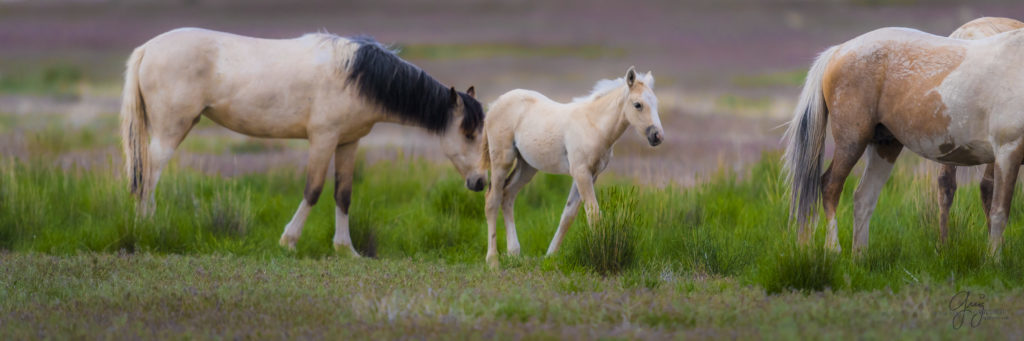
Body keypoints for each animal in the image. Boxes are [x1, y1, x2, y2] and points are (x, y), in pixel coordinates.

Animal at [117, 27, 485, 254]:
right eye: (467, 133)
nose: (481, 182)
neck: (357, 76)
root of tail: (148, 48)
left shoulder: (348, 143)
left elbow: (343, 195)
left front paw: (345, 249)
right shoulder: (323, 139)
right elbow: (314, 190)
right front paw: (289, 241)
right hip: (170, 131)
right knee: (148, 176)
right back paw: (148, 230)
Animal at [479, 66, 663, 266]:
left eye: (655, 103)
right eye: (638, 104)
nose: (657, 136)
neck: (594, 125)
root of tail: (495, 104)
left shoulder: (591, 174)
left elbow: (568, 215)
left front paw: (550, 256)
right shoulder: (581, 172)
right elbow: (593, 214)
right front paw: (601, 257)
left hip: (527, 166)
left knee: (508, 195)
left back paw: (513, 252)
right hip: (501, 160)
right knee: (492, 200)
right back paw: (492, 259)